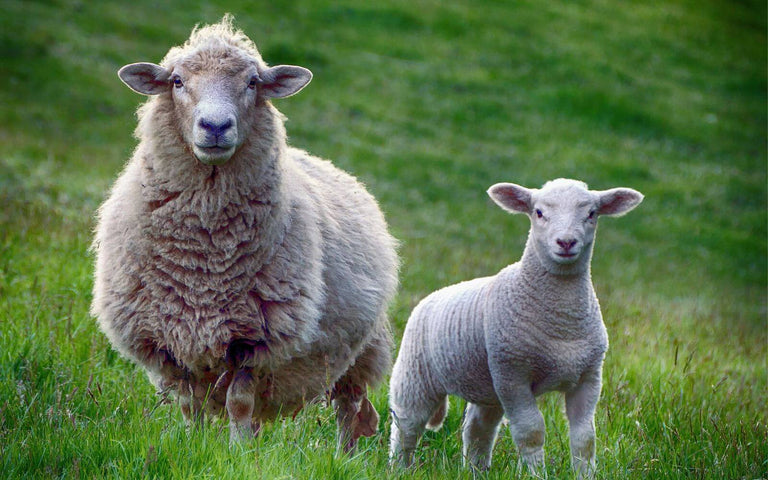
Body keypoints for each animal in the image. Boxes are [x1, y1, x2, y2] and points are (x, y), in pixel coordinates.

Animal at [90, 15, 398, 452]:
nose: (216, 126)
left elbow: (238, 402)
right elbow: (190, 405)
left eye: (252, 82)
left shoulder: (255, 341)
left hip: (361, 351)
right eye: (177, 81)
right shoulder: (169, 338)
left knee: (349, 407)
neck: (203, 258)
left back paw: (343, 456)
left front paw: (237, 454)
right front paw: (195, 446)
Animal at [388, 178, 643, 477]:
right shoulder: (513, 375)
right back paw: (399, 468)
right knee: (407, 425)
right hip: (416, 374)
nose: (566, 242)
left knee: (478, 429)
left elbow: (585, 437)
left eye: (592, 213)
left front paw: (586, 475)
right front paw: (536, 474)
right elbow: (531, 432)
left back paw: (476, 470)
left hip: (487, 386)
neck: (562, 323)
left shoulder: (589, 377)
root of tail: (430, 297)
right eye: (539, 213)